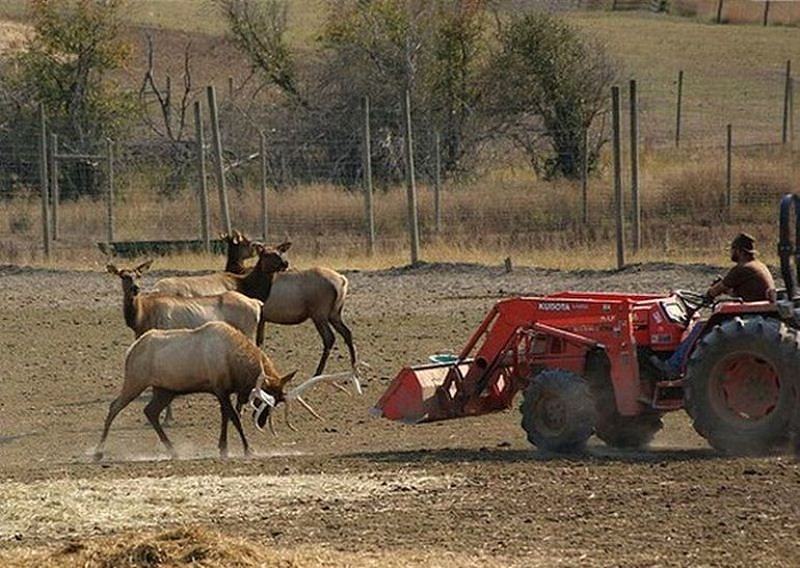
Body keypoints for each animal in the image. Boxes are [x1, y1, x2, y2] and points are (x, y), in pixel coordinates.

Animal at [92, 322, 348, 460]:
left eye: (276, 402)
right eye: (262, 401)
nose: (262, 422)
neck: (236, 363)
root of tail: (131, 350)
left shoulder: (223, 391)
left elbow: (225, 416)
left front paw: (223, 448)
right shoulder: (219, 388)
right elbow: (233, 417)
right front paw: (247, 448)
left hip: (165, 390)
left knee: (150, 412)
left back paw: (173, 450)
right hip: (135, 381)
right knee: (114, 407)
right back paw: (98, 452)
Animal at [152, 242, 356, 380]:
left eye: (280, 252)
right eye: (266, 253)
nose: (285, 263)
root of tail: (343, 280)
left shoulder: (260, 317)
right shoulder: (262, 318)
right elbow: (259, 342)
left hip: (320, 313)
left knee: (331, 337)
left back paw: (321, 372)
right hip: (331, 313)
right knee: (345, 333)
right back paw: (352, 368)